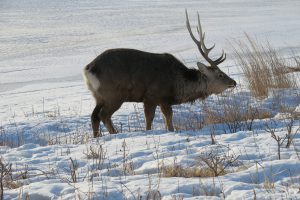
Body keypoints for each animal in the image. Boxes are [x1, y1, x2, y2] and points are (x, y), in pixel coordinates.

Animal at [83, 10, 236, 137]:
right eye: (220, 74)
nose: (233, 82)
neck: (176, 85)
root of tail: (88, 69)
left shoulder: (164, 100)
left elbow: (169, 119)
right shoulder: (152, 95)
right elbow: (150, 119)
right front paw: (149, 132)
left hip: (99, 96)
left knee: (94, 116)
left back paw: (97, 137)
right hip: (114, 94)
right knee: (103, 115)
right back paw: (114, 134)